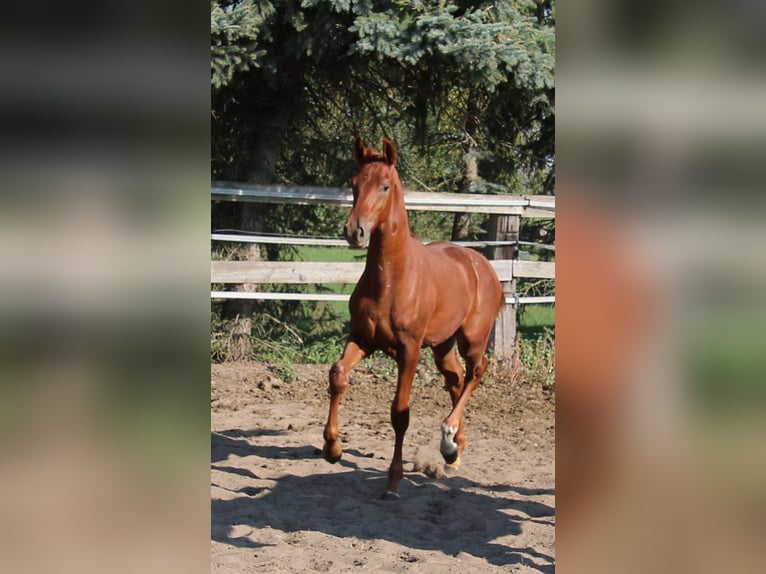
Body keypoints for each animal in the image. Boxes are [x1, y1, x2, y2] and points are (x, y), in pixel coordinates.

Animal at [322, 138, 508, 500]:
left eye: (384, 186)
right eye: (353, 184)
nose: (355, 231)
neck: (392, 280)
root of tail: (483, 266)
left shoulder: (409, 350)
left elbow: (400, 413)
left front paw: (393, 483)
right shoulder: (362, 338)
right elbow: (338, 376)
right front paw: (332, 449)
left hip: (473, 339)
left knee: (476, 372)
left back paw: (448, 434)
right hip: (442, 345)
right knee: (456, 378)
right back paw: (453, 451)